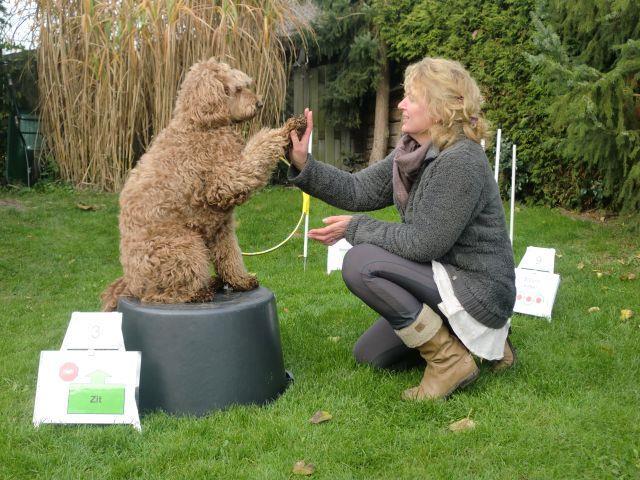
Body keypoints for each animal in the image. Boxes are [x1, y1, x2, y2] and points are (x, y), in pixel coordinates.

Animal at [102, 58, 304, 312]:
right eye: (237, 89)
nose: (259, 103)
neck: (200, 124)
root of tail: (131, 284)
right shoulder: (227, 180)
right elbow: (259, 148)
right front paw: (286, 129)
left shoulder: (222, 228)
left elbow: (230, 257)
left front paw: (240, 281)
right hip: (185, 246)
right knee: (163, 294)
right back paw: (198, 292)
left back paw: (214, 282)